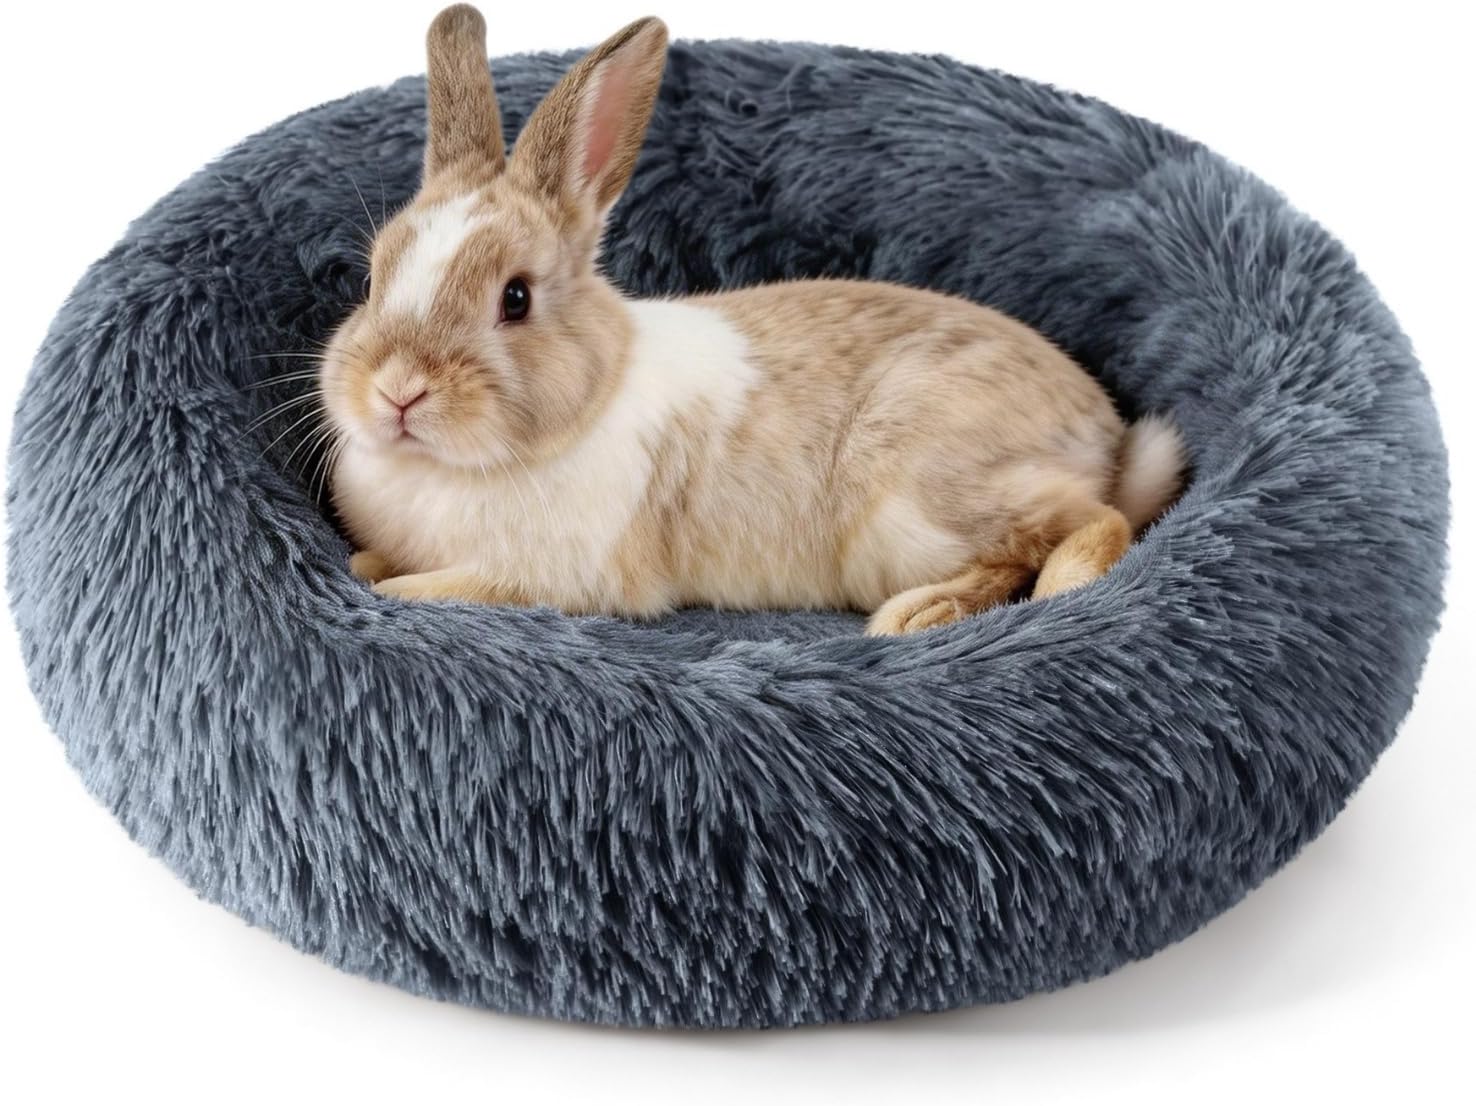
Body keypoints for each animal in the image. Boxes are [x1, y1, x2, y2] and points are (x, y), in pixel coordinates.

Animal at [319, 4, 1185, 635]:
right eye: (374, 274)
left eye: (516, 298)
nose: (397, 391)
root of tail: (1106, 436)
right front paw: (365, 568)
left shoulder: (548, 576)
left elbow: (434, 589)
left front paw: (391, 589)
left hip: (923, 501)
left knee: (1092, 522)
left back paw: (949, 610)